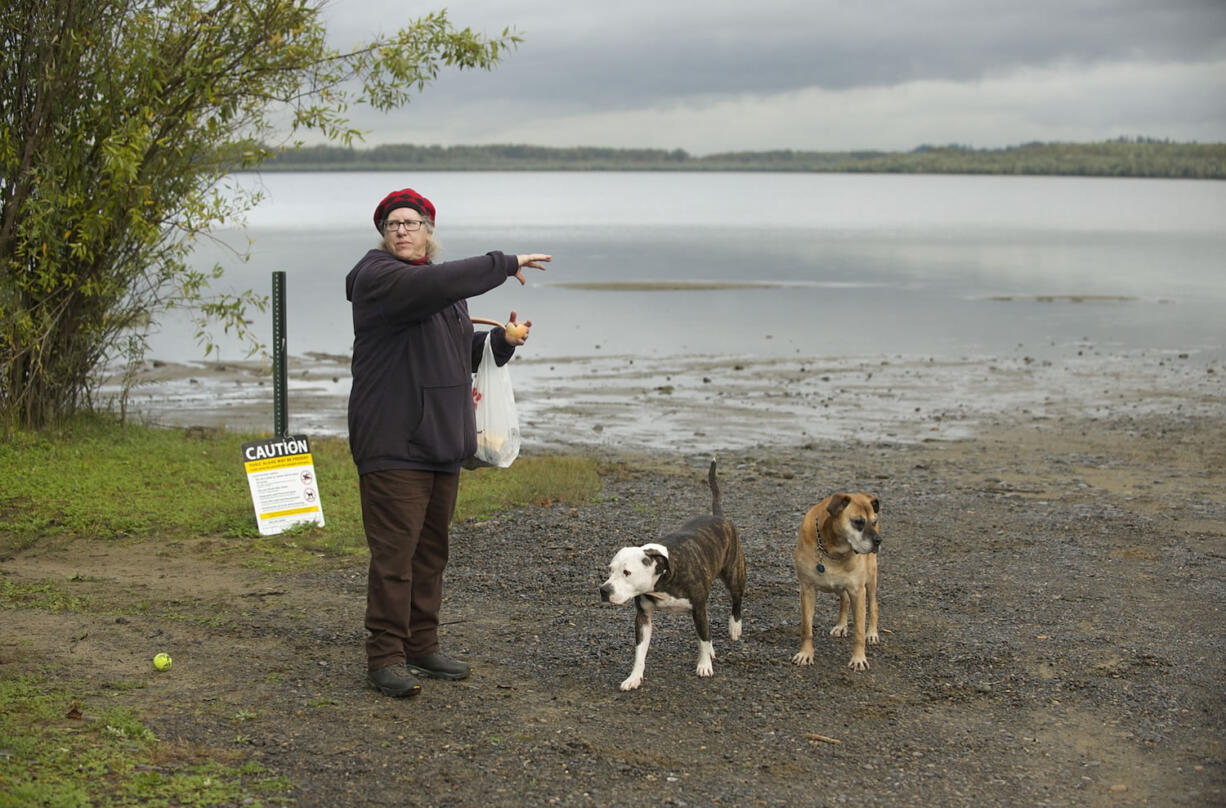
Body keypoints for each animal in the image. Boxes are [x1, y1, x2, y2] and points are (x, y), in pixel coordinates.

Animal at [595, 461, 740, 691]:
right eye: (610, 570)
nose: (604, 590)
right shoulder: (643, 617)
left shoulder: (699, 608)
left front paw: (704, 665)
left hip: (734, 574)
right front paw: (634, 677)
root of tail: (718, 516)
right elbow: (640, 652)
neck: (662, 580)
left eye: (627, 573)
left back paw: (735, 627)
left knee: (735, 601)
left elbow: (702, 638)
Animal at [794, 492, 882, 671]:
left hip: (870, 580)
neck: (833, 549)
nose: (878, 541)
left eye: (874, 522)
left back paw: (872, 633)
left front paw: (859, 659)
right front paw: (806, 654)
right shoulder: (807, 589)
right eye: (858, 522)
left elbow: (859, 632)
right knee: (844, 599)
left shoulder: (858, 591)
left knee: (873, 605)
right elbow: (806, 628)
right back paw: (841, 625)